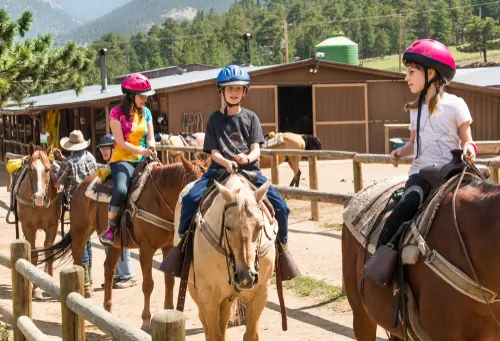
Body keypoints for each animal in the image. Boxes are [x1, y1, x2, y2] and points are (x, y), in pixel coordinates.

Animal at [16, 143, 61, 298]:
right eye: (30, 170)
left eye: (47, 169)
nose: (39, 197)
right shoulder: (28, 226)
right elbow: (33, 254)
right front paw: (33, 287)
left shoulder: (53, 225)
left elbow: (50, 252)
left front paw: (49, 282)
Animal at [34, 157, 204, 326]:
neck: (158, 200)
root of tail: (80, 187)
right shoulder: (146, 249)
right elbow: (148, 284)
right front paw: (146, 320)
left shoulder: (167, 247)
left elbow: (169, 282)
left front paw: (169, 311)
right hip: (80, 234)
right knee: (78, 265)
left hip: (114, 243)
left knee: (108, 269)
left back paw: (108, 310)